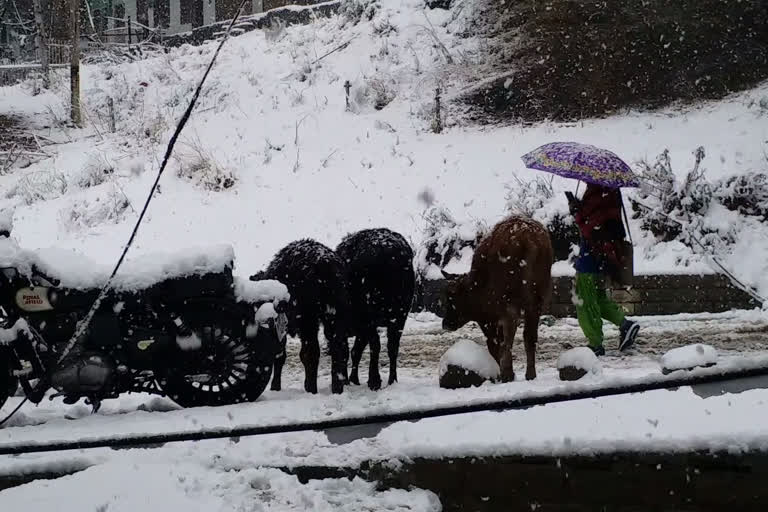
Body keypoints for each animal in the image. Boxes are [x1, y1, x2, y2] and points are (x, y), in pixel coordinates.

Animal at [440, 215, 556, 380]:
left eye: (452, 297)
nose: (446, 323)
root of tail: (526, 235)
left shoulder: (490, 319)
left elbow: (494, 342)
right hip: (537, 299)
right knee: (529, 336)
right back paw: (530, 374)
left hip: (510, 302)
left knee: (509, 333)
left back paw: (507, 372)